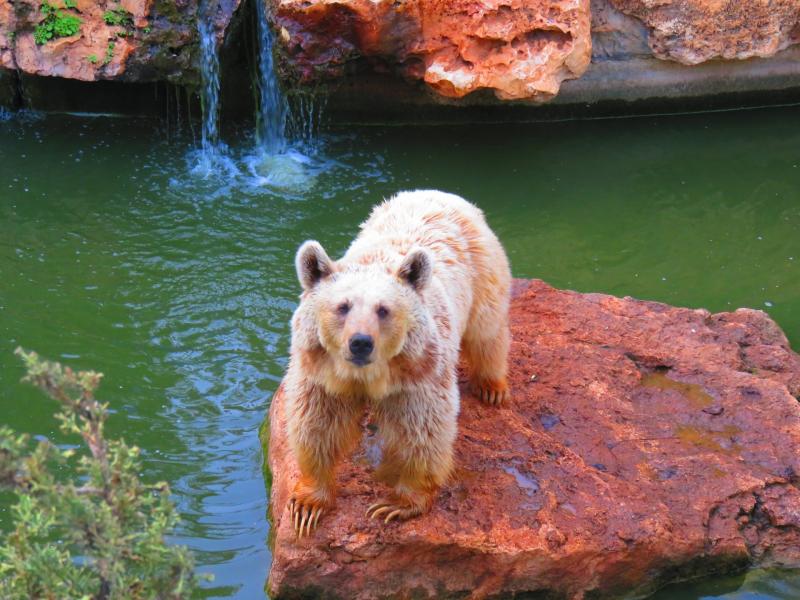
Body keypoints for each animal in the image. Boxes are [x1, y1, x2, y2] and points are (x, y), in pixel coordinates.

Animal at [284, 190, 512, 536]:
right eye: (343, 306)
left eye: (383, 309)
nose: (360, 342)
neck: (365, 375)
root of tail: (439, 192)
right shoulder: (320, 375)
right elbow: (317, 424)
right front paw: (308, 504)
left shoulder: (418, 374)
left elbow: (423, 431)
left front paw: (396, 504)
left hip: (482, 272)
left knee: (487, 331)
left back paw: (492, 387)